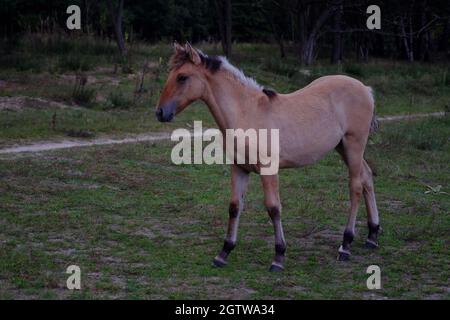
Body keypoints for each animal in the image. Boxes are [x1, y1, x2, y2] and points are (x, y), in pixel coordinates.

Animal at [155, 42, 380, 272]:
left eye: (182, 77)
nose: (160, 112)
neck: (247, 113)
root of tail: (365, 89)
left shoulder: (268, 169)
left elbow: (273, 208)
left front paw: (278, 257)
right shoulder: (239, 168)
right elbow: (234, 207)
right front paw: (224, 252)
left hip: (354, 145)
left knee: (355, 187)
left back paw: (346, 245)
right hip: (342, 147)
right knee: (367, 176)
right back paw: (372, 235)